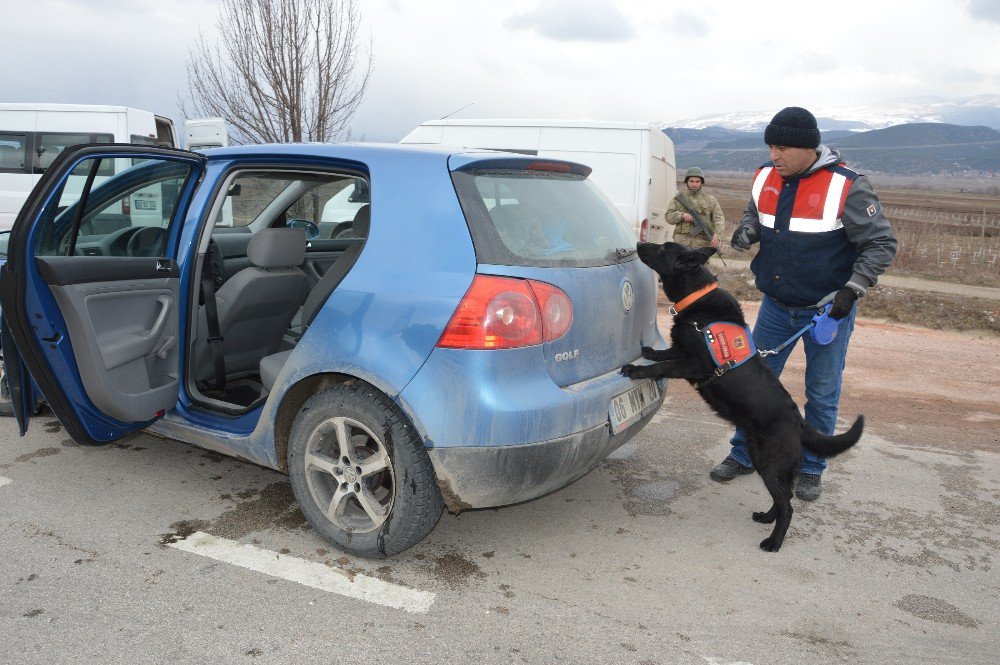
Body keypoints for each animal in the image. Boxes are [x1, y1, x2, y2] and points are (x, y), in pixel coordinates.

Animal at [620, 241, 864, 552]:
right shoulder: (681, 352)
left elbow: (663, 366)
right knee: (784, 498)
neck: (698, 299)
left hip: (768, 461)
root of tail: (798, 423)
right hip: (767, 462)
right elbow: (665, 353)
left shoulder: (694, 365)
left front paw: (637, 369)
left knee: (788, 505)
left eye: (663, 249)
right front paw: (650, 351)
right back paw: (767, 517)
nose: (637, 243)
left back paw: (773, 541)